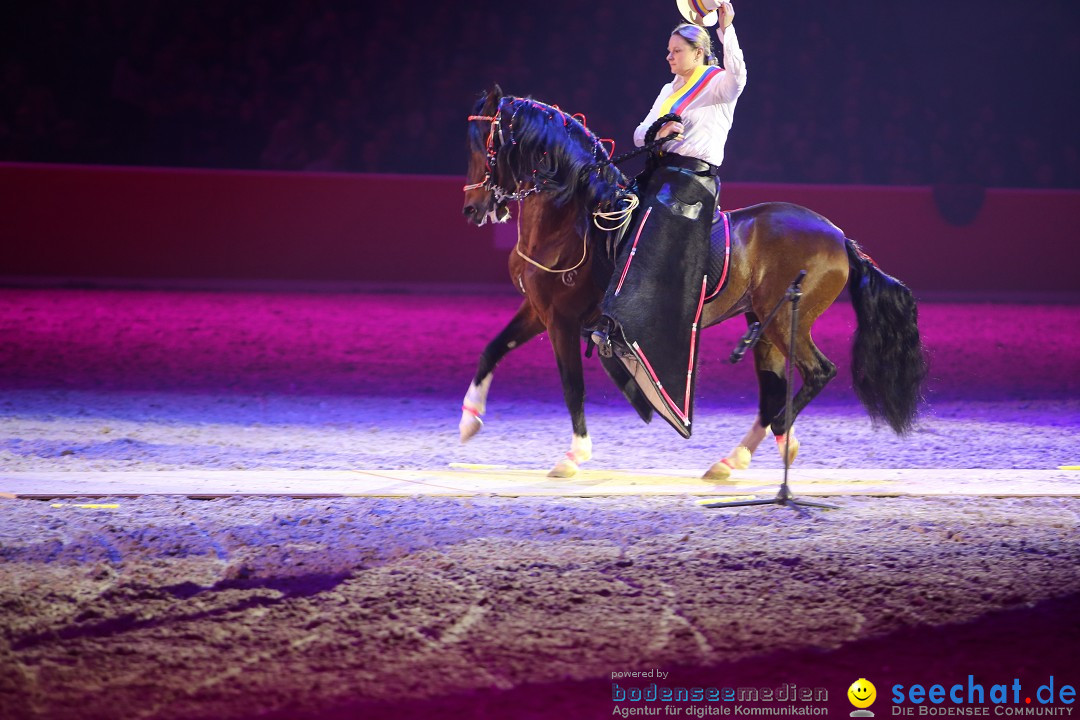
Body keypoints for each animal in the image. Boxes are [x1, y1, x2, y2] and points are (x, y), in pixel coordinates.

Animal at [460, 87, 924, 481]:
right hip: (766, 324)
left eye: (487, 144)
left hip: (786, 320)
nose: (472, 209)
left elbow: (572, 386)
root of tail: (838, 237)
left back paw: (772, 440)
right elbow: (493, 348)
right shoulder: (539, 311)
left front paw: (574, 456)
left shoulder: (563, 320)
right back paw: (740, 458)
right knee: (772, 390)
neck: (573, 219)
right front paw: (468, 421)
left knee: (817, 373)